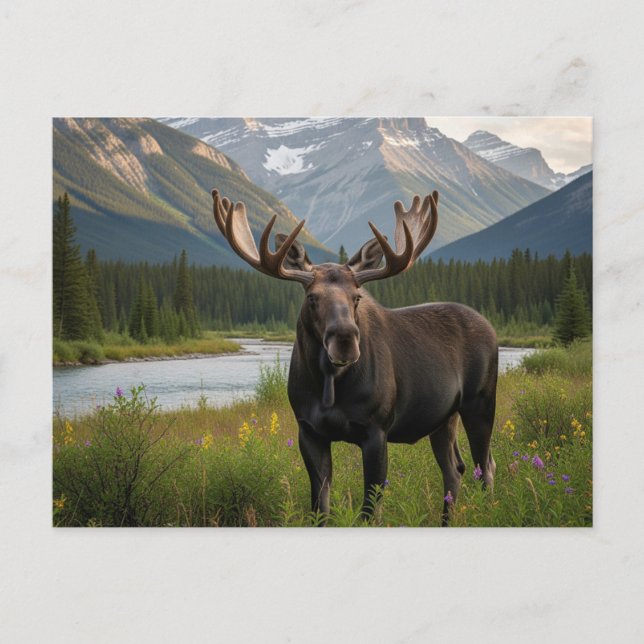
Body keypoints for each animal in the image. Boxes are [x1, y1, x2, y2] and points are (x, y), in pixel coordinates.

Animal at [211, 188, 498, 526]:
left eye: (357, 297)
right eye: (312, 297)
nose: (345, 339)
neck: (329, 385)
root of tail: (491, 327)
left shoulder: (376, 430)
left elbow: (369, 511)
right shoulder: (309, 431)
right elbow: (319, 509)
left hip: (480, 403)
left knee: (485, 467)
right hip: (443, 418)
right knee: (455, 469)